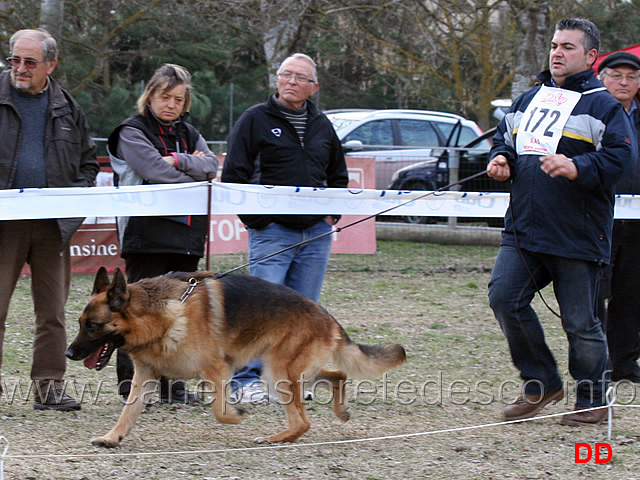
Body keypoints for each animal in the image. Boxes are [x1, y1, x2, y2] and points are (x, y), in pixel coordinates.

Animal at [65, 266, 404, 446]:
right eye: (80, 324)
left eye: (92, 326)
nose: (68, 353)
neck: (160, 315)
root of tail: (326, 316)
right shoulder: (145, 375)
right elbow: (129, 411)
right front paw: (112, 437)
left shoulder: (218, 370)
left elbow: (219, 411)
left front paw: (237, 415)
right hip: (286, 369)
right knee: (339, 375)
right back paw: (339, 411)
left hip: (278, 373)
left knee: (304, 420)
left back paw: (276, 438)